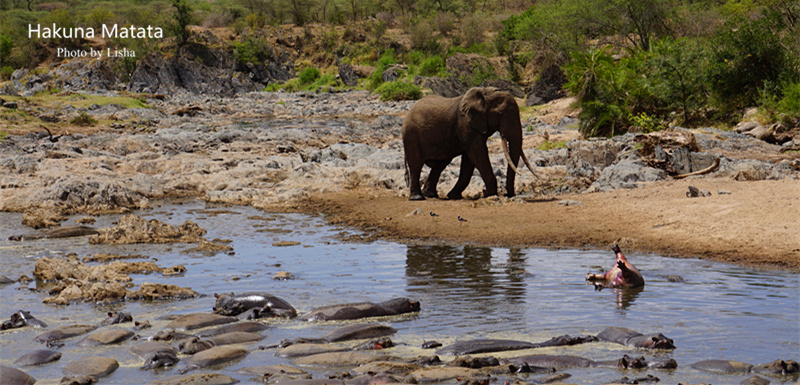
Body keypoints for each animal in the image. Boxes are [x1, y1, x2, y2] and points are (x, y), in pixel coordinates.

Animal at [400, 87, 536, 201]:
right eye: (500, 114)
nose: (509, 195)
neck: (485, 93)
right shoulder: (465, 124)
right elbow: (478, 153)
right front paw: (490, 194)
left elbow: (469, 159)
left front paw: (454, 196)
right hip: (411, 134)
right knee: (416, 165)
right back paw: (417, 198)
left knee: (441, 163)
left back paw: (431, 194)